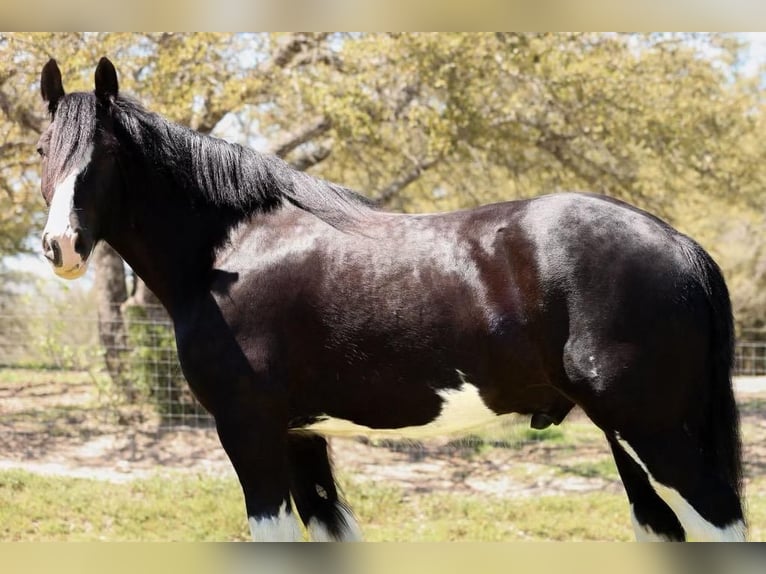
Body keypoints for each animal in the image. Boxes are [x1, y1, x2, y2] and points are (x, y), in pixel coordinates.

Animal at [34, 59, 744, 544]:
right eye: (45, 150)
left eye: (105, 154)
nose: (59, 245)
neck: (231, 251)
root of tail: (681, 244)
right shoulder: (300, 435)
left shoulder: (249, 429)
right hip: (627, 437)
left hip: (653, 430)